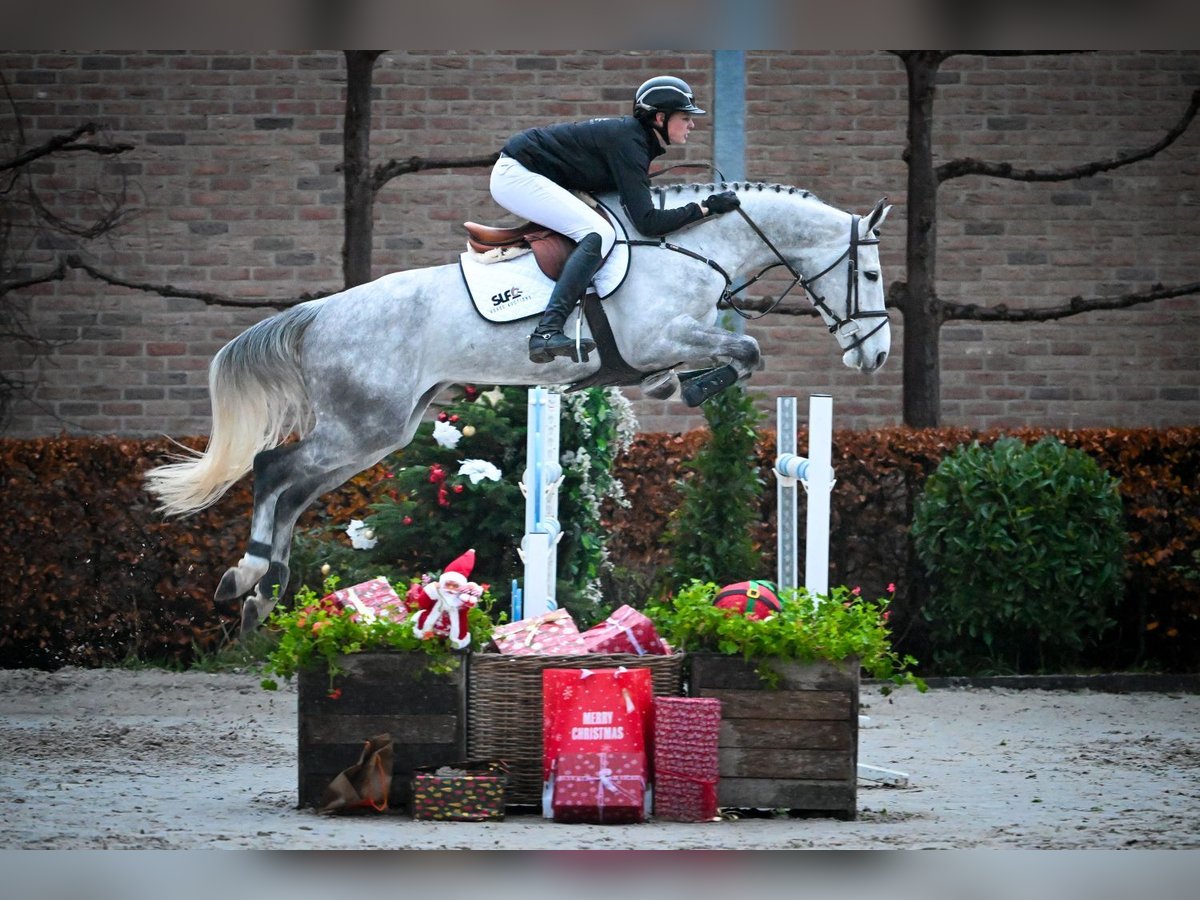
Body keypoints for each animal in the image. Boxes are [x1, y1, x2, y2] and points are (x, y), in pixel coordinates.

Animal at [145, 181, 892, 633]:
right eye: (872, 274)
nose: (877, 357)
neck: (693, 247)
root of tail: (321, 312)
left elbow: (741, 353)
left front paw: (673, 387)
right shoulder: (657, 338)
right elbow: (749, 350)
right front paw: (683, 388)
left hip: (380, 430)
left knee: (294, 489)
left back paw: (266, 590)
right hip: (363, 426)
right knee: (273, 469)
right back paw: (246, 576)